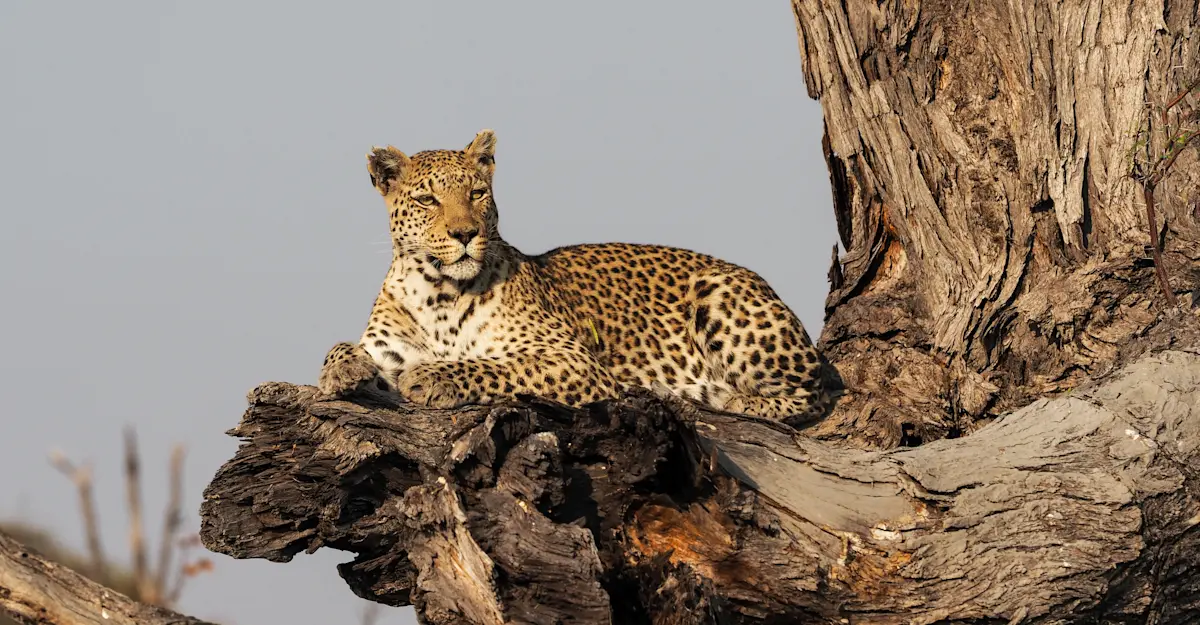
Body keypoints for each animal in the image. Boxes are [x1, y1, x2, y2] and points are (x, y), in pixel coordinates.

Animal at [317, 129, 839, 424]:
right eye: (428, 200)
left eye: (478, 193)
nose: (465, 233)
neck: (438, 291)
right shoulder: (389, 346)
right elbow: (340, 347)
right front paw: (343, 369)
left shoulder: (573, 361)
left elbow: (497, 366)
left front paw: (434, 377)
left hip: (720, 294)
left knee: (812, 396)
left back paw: (739, 402)